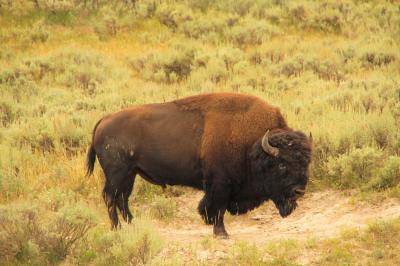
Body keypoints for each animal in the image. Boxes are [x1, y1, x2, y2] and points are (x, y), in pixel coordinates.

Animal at [86, 93, 312, 237]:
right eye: (282, 165)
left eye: (306, 162)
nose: (299, 191)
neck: (253, 146)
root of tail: (103, 120)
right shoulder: (220, 184)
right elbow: (216, 208)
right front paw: (221, 233)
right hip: (117, 174)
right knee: (110, 197)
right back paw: (117, 229)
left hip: (130, 174)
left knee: (122, 199)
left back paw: (133, 225)